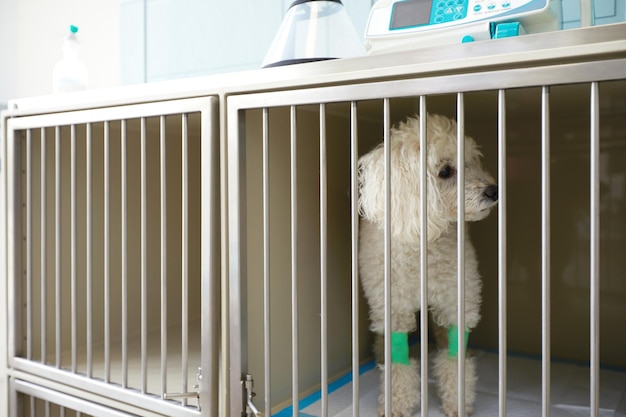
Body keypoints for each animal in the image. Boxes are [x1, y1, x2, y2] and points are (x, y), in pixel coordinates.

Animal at [356, 114, 498, 416]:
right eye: (445, 171)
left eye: (471, 161)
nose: (494, 190)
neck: (425, 244)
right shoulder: (393, 307)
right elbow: (398, 363)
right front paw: (396, 403)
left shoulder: (456, 300)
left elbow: (455, 356)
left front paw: (457, 401)